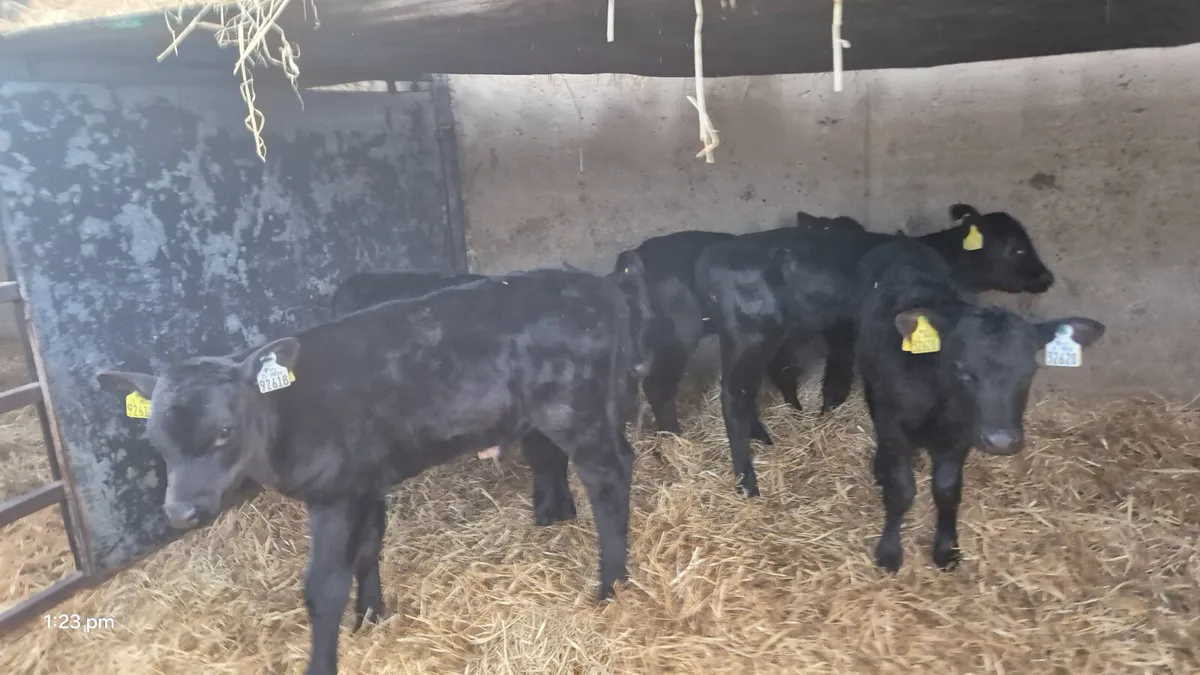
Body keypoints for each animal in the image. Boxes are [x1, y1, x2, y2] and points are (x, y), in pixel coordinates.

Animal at [95, 267, 640, 675]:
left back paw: (612, 585)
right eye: (154, 438)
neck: (284, 415)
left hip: (575, 409)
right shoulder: (366, 481)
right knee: (620, 458)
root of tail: (595, 286)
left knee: (608, 477)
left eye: (224, 431)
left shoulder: (334, 496)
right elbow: (367, 549)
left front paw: (323, 661)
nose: (180, 511)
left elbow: (323, 586)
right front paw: (371, 615)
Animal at [695, 203, 1055, 496]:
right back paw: (747, 481)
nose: (1047, 278)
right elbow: (839, 384)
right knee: (734, 399)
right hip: (749, 339)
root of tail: (714, 257)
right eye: (1016, 248)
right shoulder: (850, 336)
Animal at [854, 235, 1103, 572]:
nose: (1001, 440)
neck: (940, 404)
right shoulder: (894, 423)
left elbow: (947, 490)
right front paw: (889, 551)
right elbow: (901, 489)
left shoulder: (962, 435)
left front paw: (946, 548)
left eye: (1030, 370)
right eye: (963, 369)